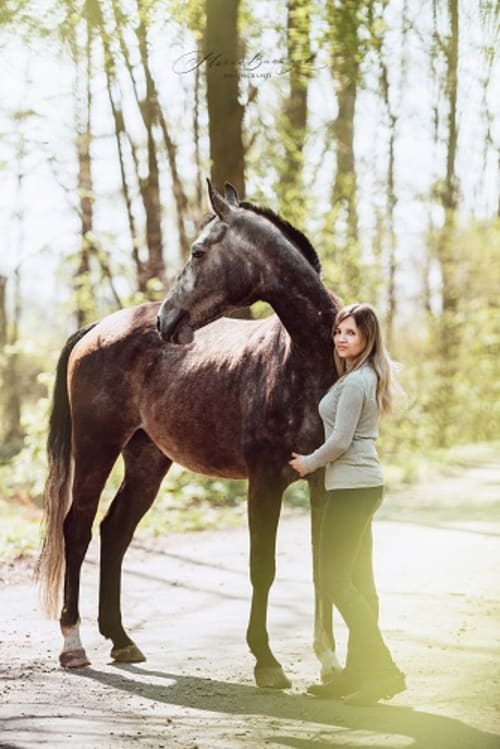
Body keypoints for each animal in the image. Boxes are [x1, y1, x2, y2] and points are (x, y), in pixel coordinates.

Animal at [37, 180, 342, 689]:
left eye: (198, 251)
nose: (166, 319)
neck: (304, 362)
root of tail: (98, 328)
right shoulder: (265, 483)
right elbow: (263, 568)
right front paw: (267, 663)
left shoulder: (325, 484)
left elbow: (326, 568)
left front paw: (332, 664)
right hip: (97, 449)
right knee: (77, 528)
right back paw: (73, 645)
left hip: (147, 460)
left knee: (114, 530)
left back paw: (121, 639)